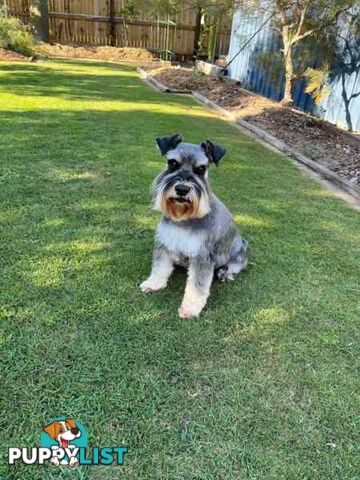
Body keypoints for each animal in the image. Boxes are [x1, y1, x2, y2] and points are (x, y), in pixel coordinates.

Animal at [140, 132, 248, 318]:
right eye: (172, 163)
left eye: (201, 169)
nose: (182, 189)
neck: (184, 217)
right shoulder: (165, 243)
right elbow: (160, 268)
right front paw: (153, 284)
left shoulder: (202, 256)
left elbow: (198, 286)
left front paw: (190, 308)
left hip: (237, 252)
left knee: (237, 265)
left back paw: (225, 273)